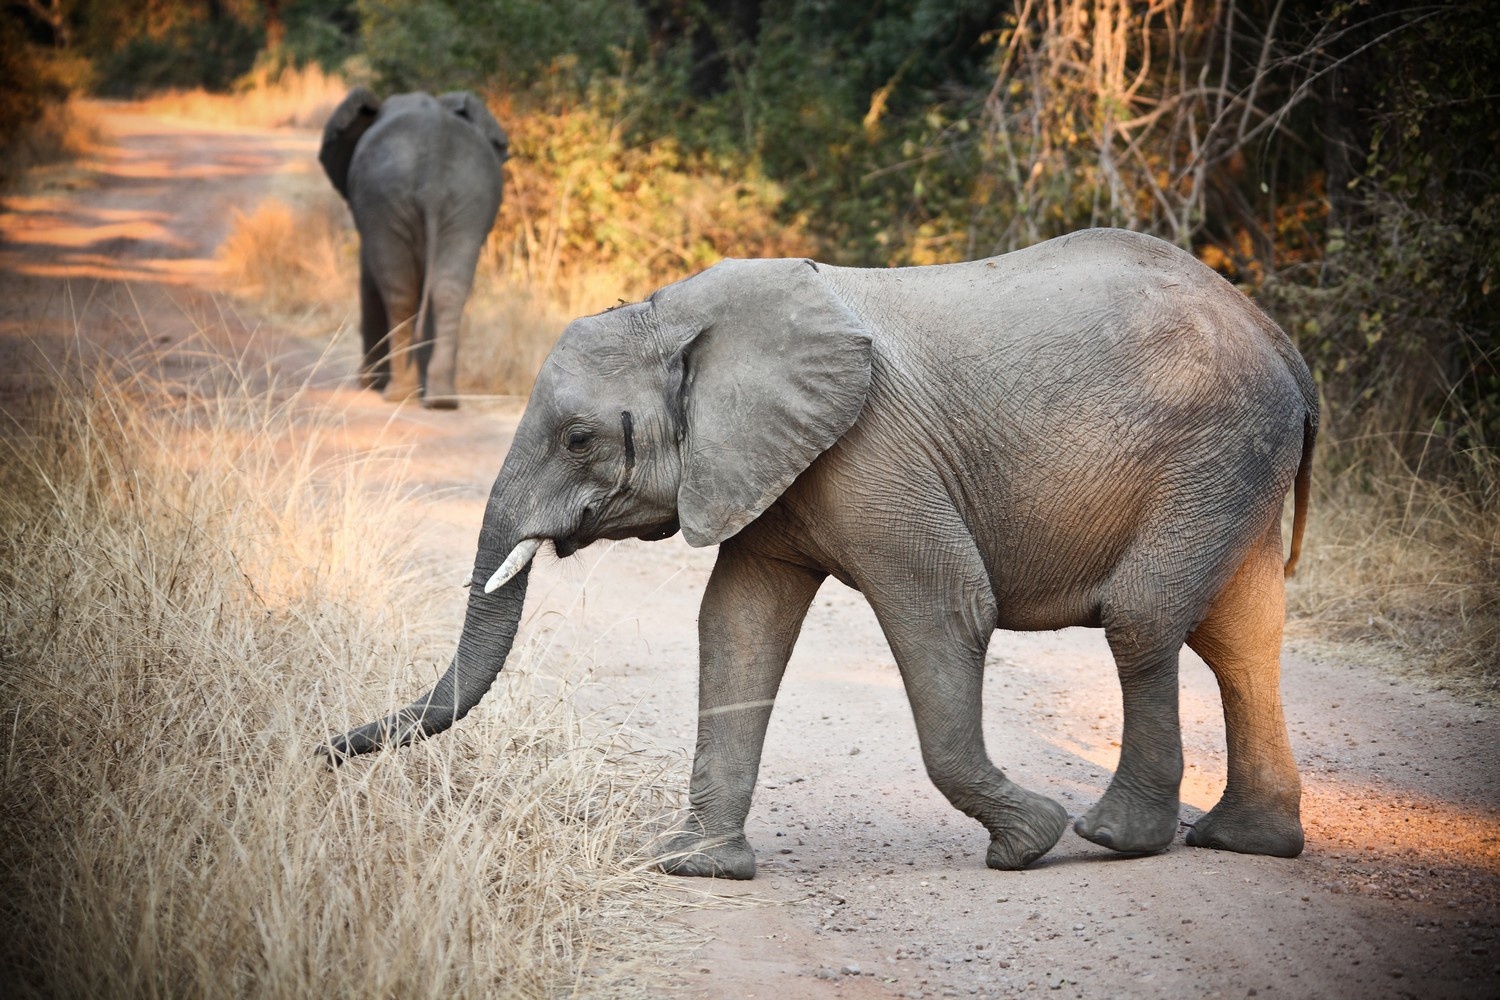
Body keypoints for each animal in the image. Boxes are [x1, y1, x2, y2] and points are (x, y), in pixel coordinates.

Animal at [318, 88, 510, 407]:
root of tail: (433, 171)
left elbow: (369, 280)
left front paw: (369, 384)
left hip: (385, 198)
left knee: (399, 292)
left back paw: (397, 394)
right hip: (469, 198)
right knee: (449, 289)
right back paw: (441, 400)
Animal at [322, 230, 1320, 881]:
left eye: (577, 440)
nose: (324, 751)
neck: (678, 313)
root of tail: (1283, 343)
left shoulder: (875, 451)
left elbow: (946, 606)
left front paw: (1028, 841)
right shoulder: (768, 461)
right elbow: (737, 624)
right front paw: (698, 867)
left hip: (1212, 446)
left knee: (1144, 617)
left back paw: (1113, 837)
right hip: (1234, 462)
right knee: (1241, 637)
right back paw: (1244, 843)